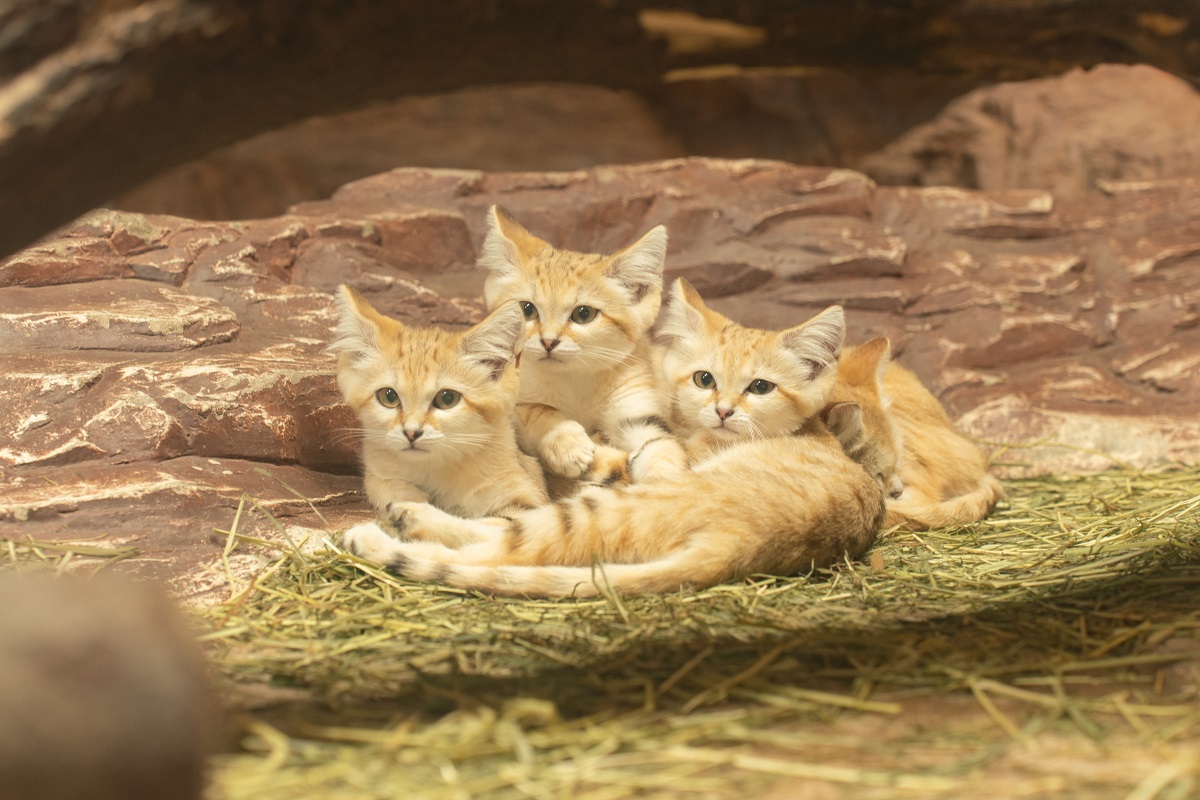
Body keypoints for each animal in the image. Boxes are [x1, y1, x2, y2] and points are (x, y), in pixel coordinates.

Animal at [333, 286, 549, 520]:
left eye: (447, 399)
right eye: (388, 396)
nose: (411, 433)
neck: (435, 472)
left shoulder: (523, 496)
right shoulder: (378, 472)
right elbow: (383, 486)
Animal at [475, 206, 686, 482]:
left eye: (584, 314)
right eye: (527, 310)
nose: (548, 341)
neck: (577, 379)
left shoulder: (639, 412)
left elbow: (663, 448)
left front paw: (661, 482)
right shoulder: (506, 397)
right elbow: (536, 409)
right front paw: (566, 442)